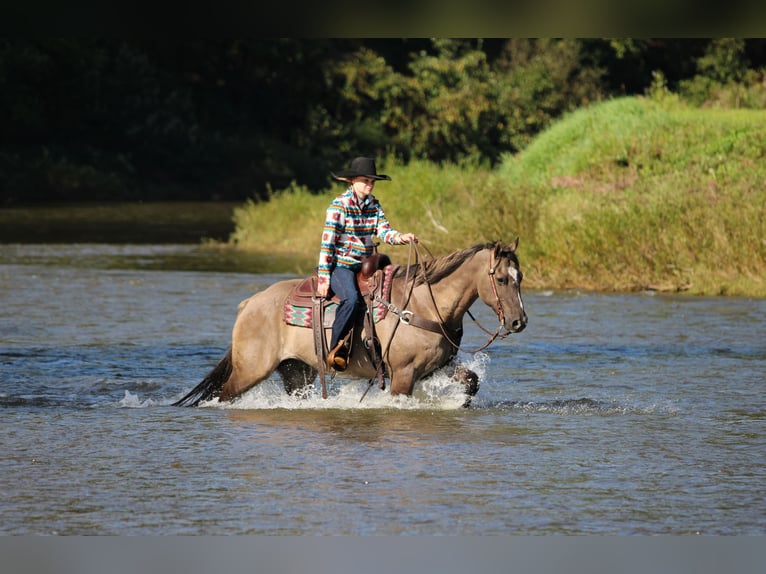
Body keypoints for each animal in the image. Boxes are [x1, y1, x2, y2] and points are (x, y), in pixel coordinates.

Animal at [173, 240, 527, 407]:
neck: (425, 304)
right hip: (250, 370)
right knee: (224, 396)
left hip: (295, 371)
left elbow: (470, 381)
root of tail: (249, 304)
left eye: (520, 277)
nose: (518, 321)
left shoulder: (434, 367)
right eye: (500, 279)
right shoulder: (403, 374)